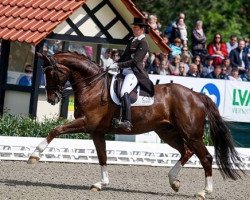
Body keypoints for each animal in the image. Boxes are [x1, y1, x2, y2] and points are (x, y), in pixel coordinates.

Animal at [28, 52, 243, 200]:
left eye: (50, 73)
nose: (52, 99)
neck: (92, 86)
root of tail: (196, 95)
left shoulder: (86, 123)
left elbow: (55, 130)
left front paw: (34, 156)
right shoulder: (96, 131)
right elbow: (102, 157)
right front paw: (101, 183)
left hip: (191, 133)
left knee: (205, 157)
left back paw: (204, 191)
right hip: (167, 132)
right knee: (187, 152)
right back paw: (173, 181)